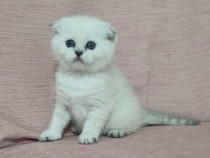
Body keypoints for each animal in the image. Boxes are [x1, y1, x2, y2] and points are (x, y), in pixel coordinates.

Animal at [39, 15, 199, 144]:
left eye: (91, 45)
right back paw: (77, 128)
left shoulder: (100, 105)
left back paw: (117, 131)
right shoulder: (62, 104)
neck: (80, 77)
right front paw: (51, 134)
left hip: (123, 114)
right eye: (70, 43)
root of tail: (141, 111)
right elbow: (56, 121)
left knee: (134, 127)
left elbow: (91, 123)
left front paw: (88, 135)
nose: (78, 52)